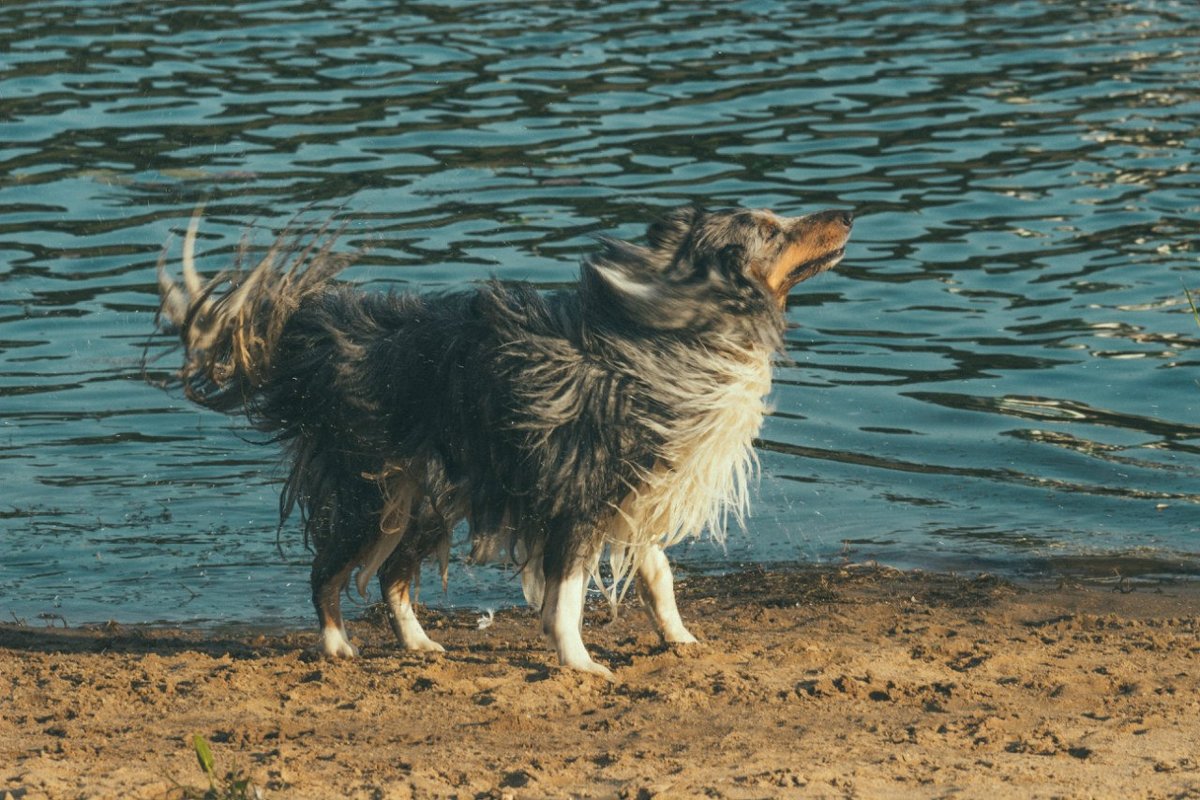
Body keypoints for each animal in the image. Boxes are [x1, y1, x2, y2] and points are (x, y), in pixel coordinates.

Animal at [157, 205, 854, 676]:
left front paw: (680, 640)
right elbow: (567, 597)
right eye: (772, 229)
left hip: (427, 499)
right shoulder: (579, 495)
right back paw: (336, 646)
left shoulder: (635, 492)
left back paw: (420, 645)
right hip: (375, 493)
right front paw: (580, 665)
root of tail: (313, 342)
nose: (846, 213)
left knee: (392, 580)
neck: (680, 331)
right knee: (325, 572)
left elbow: (658, 573)